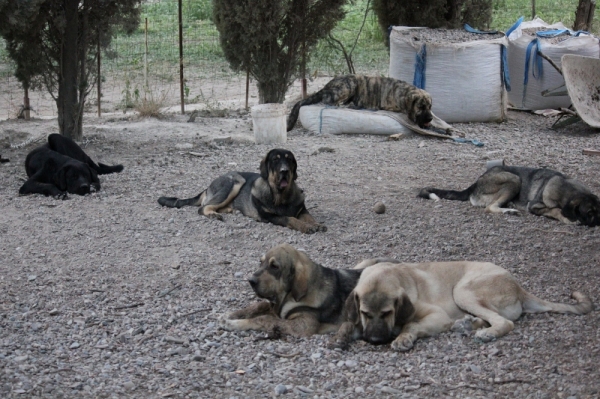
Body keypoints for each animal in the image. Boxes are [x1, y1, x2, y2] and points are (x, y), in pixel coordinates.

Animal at [157, 149, 326, 234]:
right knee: (203, 207)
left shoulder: (302, 210)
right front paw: (305, 227)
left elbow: (309, 217)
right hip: (235, 181)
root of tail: (207, 187)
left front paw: (316, 224)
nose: (285, 171)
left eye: (290, 160)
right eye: (275, 159)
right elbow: (290, 219)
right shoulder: (270, 216)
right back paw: (213, 214)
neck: (280, 195)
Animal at [218, 244, 396, 338]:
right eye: (260, 263)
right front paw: (232, 315)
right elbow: (258, 306)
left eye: (274, 266)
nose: (251, 281)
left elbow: (265, 319)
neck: (291, 296)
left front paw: (234, 324)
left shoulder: (303, 325)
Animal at [330, 262, 592, 350]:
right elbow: (347, 325)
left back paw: (486, 332)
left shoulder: (435, 315)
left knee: (505, 322)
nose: (374, 341)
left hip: (463, 290)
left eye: (387, 313)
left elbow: (410, 326)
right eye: (365, 313)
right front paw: (341, 336)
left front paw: (403, 338)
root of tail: (519, 287)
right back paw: (466, 324)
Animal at [418, 166, 600, 228]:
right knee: (490, 207)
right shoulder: (535, 206)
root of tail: (477, 182)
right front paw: (568, 219)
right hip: (514, 179)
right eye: (589, 213)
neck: (568, 188)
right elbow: (555, 210)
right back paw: (509, 211)